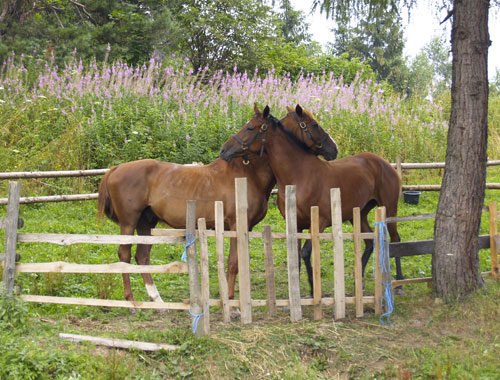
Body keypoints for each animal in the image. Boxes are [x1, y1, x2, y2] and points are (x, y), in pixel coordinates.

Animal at [219, 105, 402, 296]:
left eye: (249, 128)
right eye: (314, 124)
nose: (224, 150)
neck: (299, 175)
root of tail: (384, 163)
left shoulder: (319, 222)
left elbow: (306, 252)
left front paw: (314, 290)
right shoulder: (296, 225)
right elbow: (296, 256)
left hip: (389, 209)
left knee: (395, 239)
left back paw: (399, 284)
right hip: (359, 214)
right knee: (369, 242)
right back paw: (360, 283)